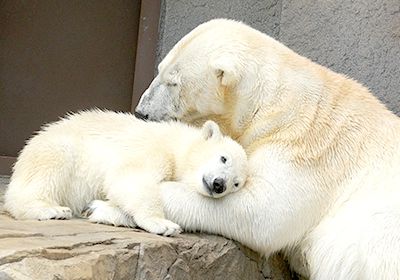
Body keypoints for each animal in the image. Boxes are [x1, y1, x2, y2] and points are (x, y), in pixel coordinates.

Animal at [3, 109, 247, 236]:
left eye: (236, 183)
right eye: (223, 157)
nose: (219, 184)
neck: (179, 145)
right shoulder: (156, 150)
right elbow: (131, 178)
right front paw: (164, 224)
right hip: (55, 150)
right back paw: (51, 209)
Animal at [135, 18, 400, 278]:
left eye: (173, 82)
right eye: (159, 70)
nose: (141, 112)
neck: (278, 104)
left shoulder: (307, 147)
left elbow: (264, 212)